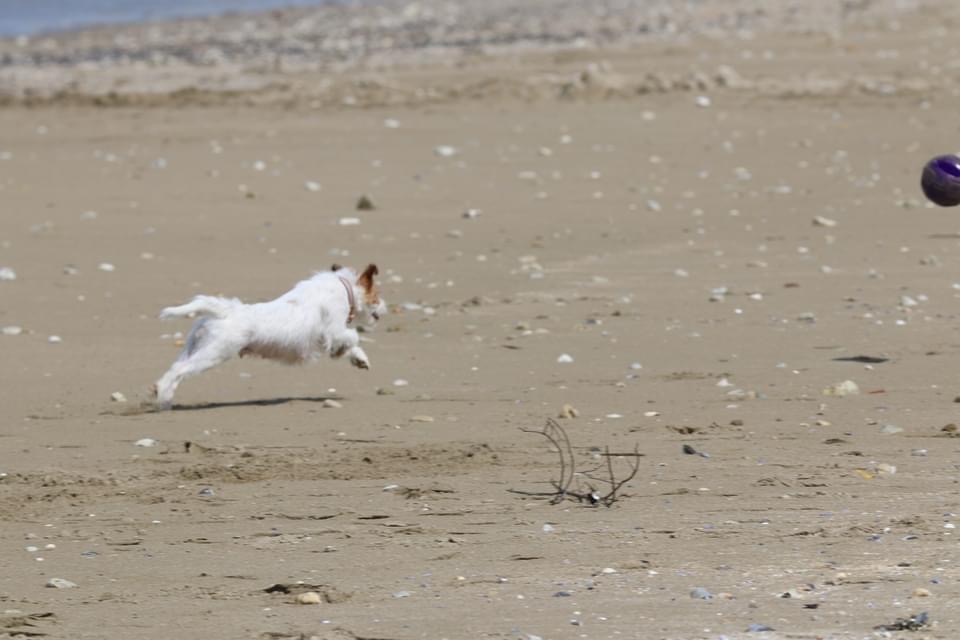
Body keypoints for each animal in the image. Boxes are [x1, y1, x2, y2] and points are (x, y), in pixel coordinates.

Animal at [152, 264, 384, 410]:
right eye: (377, 296)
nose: (385, 307)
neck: (343, 287)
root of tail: (224, 311)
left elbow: (350, 344)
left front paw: (359, 359)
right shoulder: (335, 330)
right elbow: (351, 337)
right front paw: (352, 352)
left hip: (193, 347)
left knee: (174, 368)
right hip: (213, 353)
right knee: (178, 372)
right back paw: (163, 398)